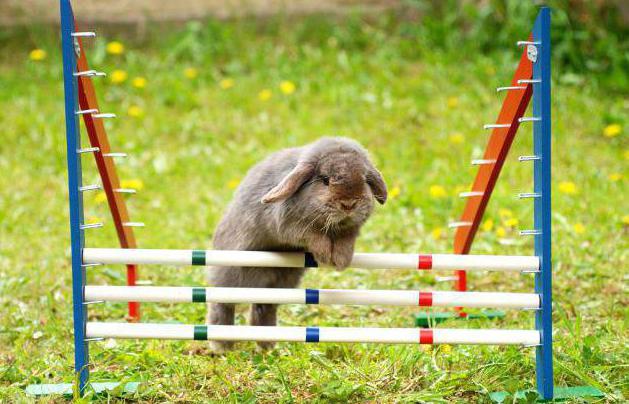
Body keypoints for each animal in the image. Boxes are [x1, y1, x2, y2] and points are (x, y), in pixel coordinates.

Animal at [206, 136, 386, 350]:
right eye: (325, 180)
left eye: (365, 180)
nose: (349, 204)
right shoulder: (292, 226)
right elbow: (314, 236)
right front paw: (326, 255)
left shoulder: (350, 230)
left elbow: (346, 240)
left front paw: (341, 260)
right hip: (230, 278)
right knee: (221, 306)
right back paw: (222, 347)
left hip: (278, 285)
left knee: (263, 307)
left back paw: (267, 346)